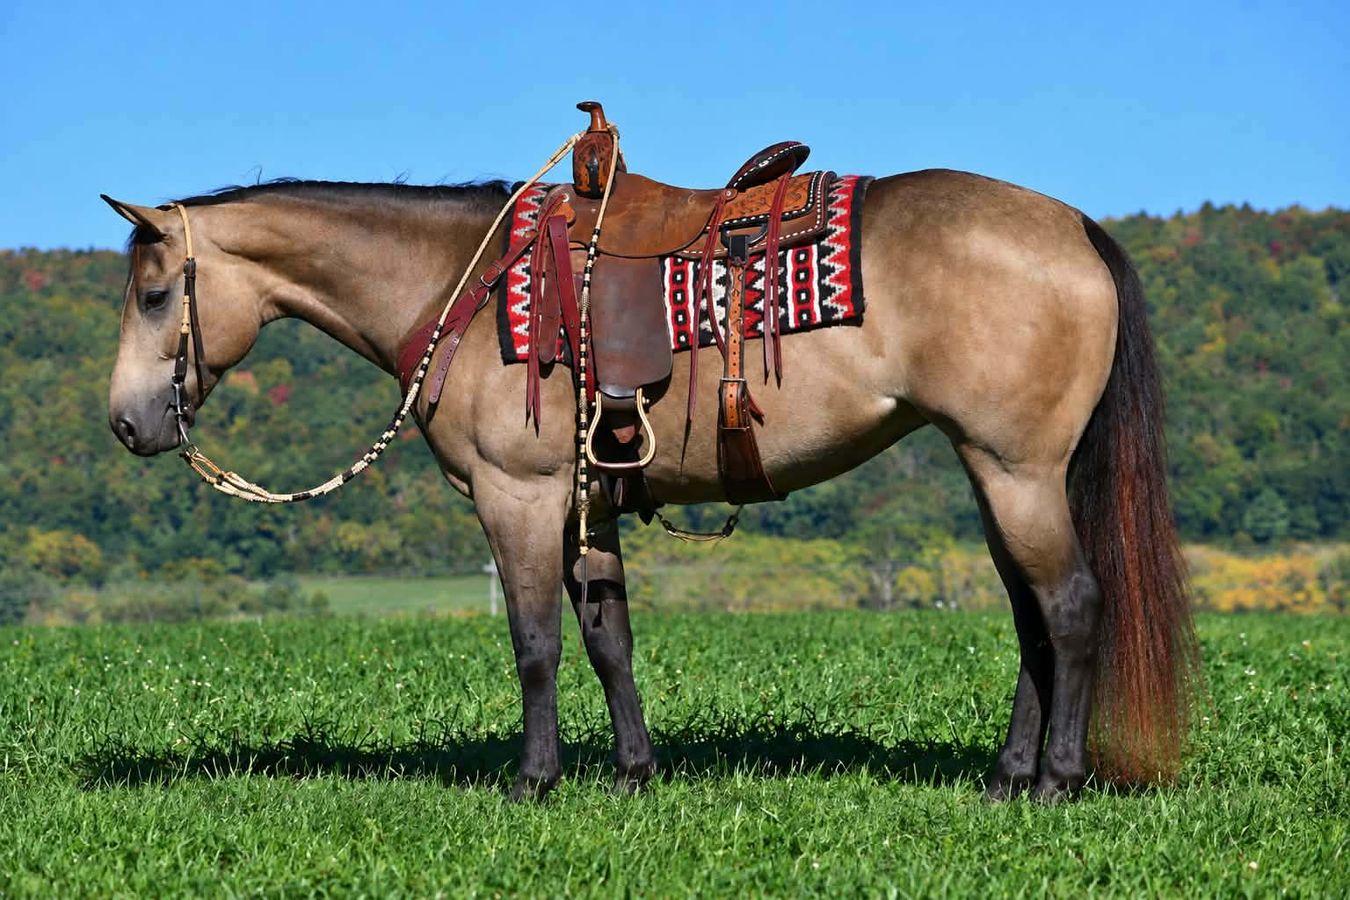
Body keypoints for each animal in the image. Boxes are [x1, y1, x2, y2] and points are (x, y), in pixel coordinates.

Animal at [103, 166, 1198, 802]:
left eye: (155, 295)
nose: (127, 423)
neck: (464, 284)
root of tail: (1076, 226)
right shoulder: (587, 506)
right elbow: (608, 643)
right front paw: (633, 776)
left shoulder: (519, 496)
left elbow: (536, 645)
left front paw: (534, 783)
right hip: (996, 475)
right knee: (1031, 621)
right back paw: (1009, 779)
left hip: (1019, 474)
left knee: (1071, 606)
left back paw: (1056, 783)